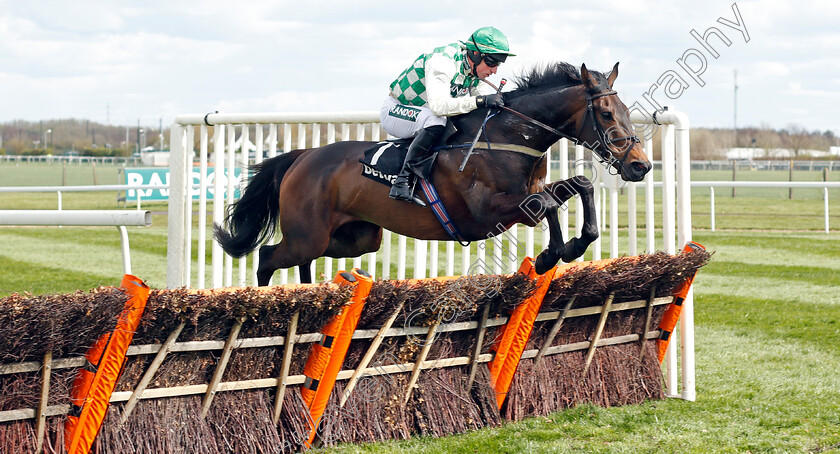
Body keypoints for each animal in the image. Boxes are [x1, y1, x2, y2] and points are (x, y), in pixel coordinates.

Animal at [215, 62, 648, 286]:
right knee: (267, 257)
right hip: (308, 235)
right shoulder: (487, 212)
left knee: (302, 259)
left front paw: (568, 248)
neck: (506, 136)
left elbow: (576, 187)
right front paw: (551, 255)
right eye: (606, 113)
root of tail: (303, 157)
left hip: (354, 239)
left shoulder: (526, 194)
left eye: (625, 110)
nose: (639, 164)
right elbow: (545, 203)